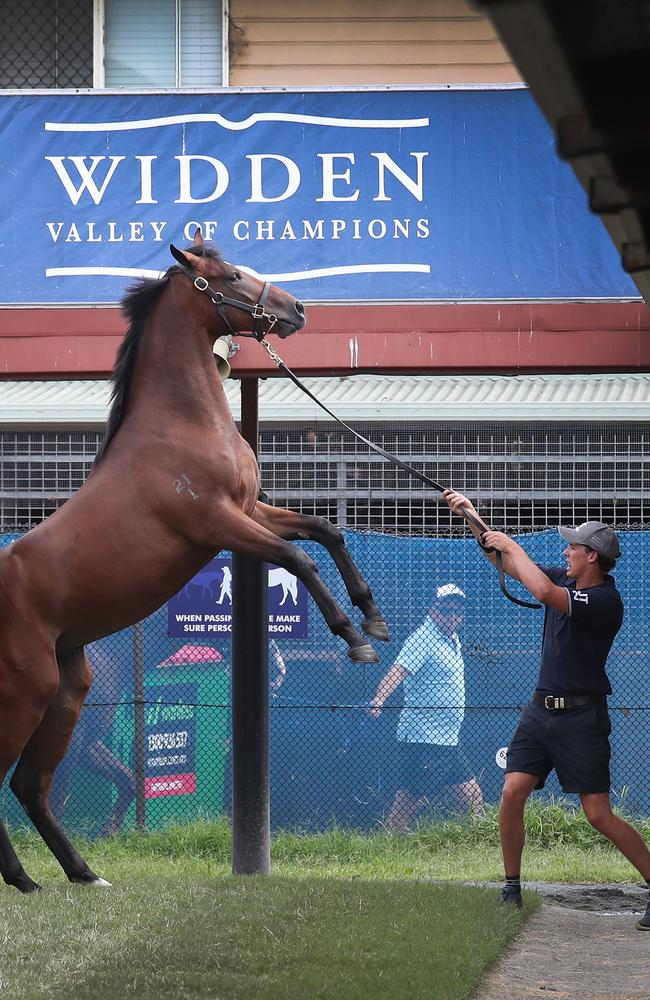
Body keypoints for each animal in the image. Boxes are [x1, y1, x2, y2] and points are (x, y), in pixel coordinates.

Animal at [0, 232, 384, 892]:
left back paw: (80, 875)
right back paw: (27, 881)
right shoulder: (219, 525)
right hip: (23, 690)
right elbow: (297, 558)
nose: (296, 310)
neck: (178, 425)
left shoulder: (251, 508)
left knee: (31, 784)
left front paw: (373, 617)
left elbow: (326, 532)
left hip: (66, 688)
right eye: (228, 276)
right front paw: (353, 638)